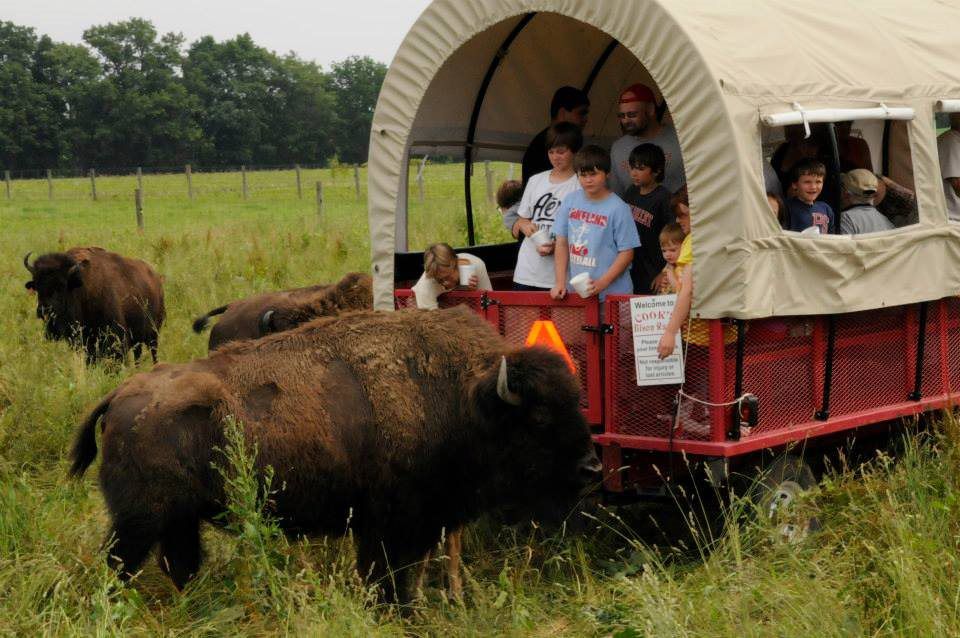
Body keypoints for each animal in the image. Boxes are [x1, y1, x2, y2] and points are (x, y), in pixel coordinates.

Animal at [23, 246, 165, 364]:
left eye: (61, 286)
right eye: (37, 286)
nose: (43, 310)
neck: (81, 289)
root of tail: (157, 279)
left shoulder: (117, 339)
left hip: (154, 334)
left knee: (153, 353)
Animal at [69, 308, 600, 604]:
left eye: (577, 402)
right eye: (537, 418)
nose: (592, 467)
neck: (464, 397)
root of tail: (120, 396)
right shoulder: (390, 524)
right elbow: (386, 577)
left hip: (178, 518)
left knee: (178, 563)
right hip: (139, 520)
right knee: (122, 564)